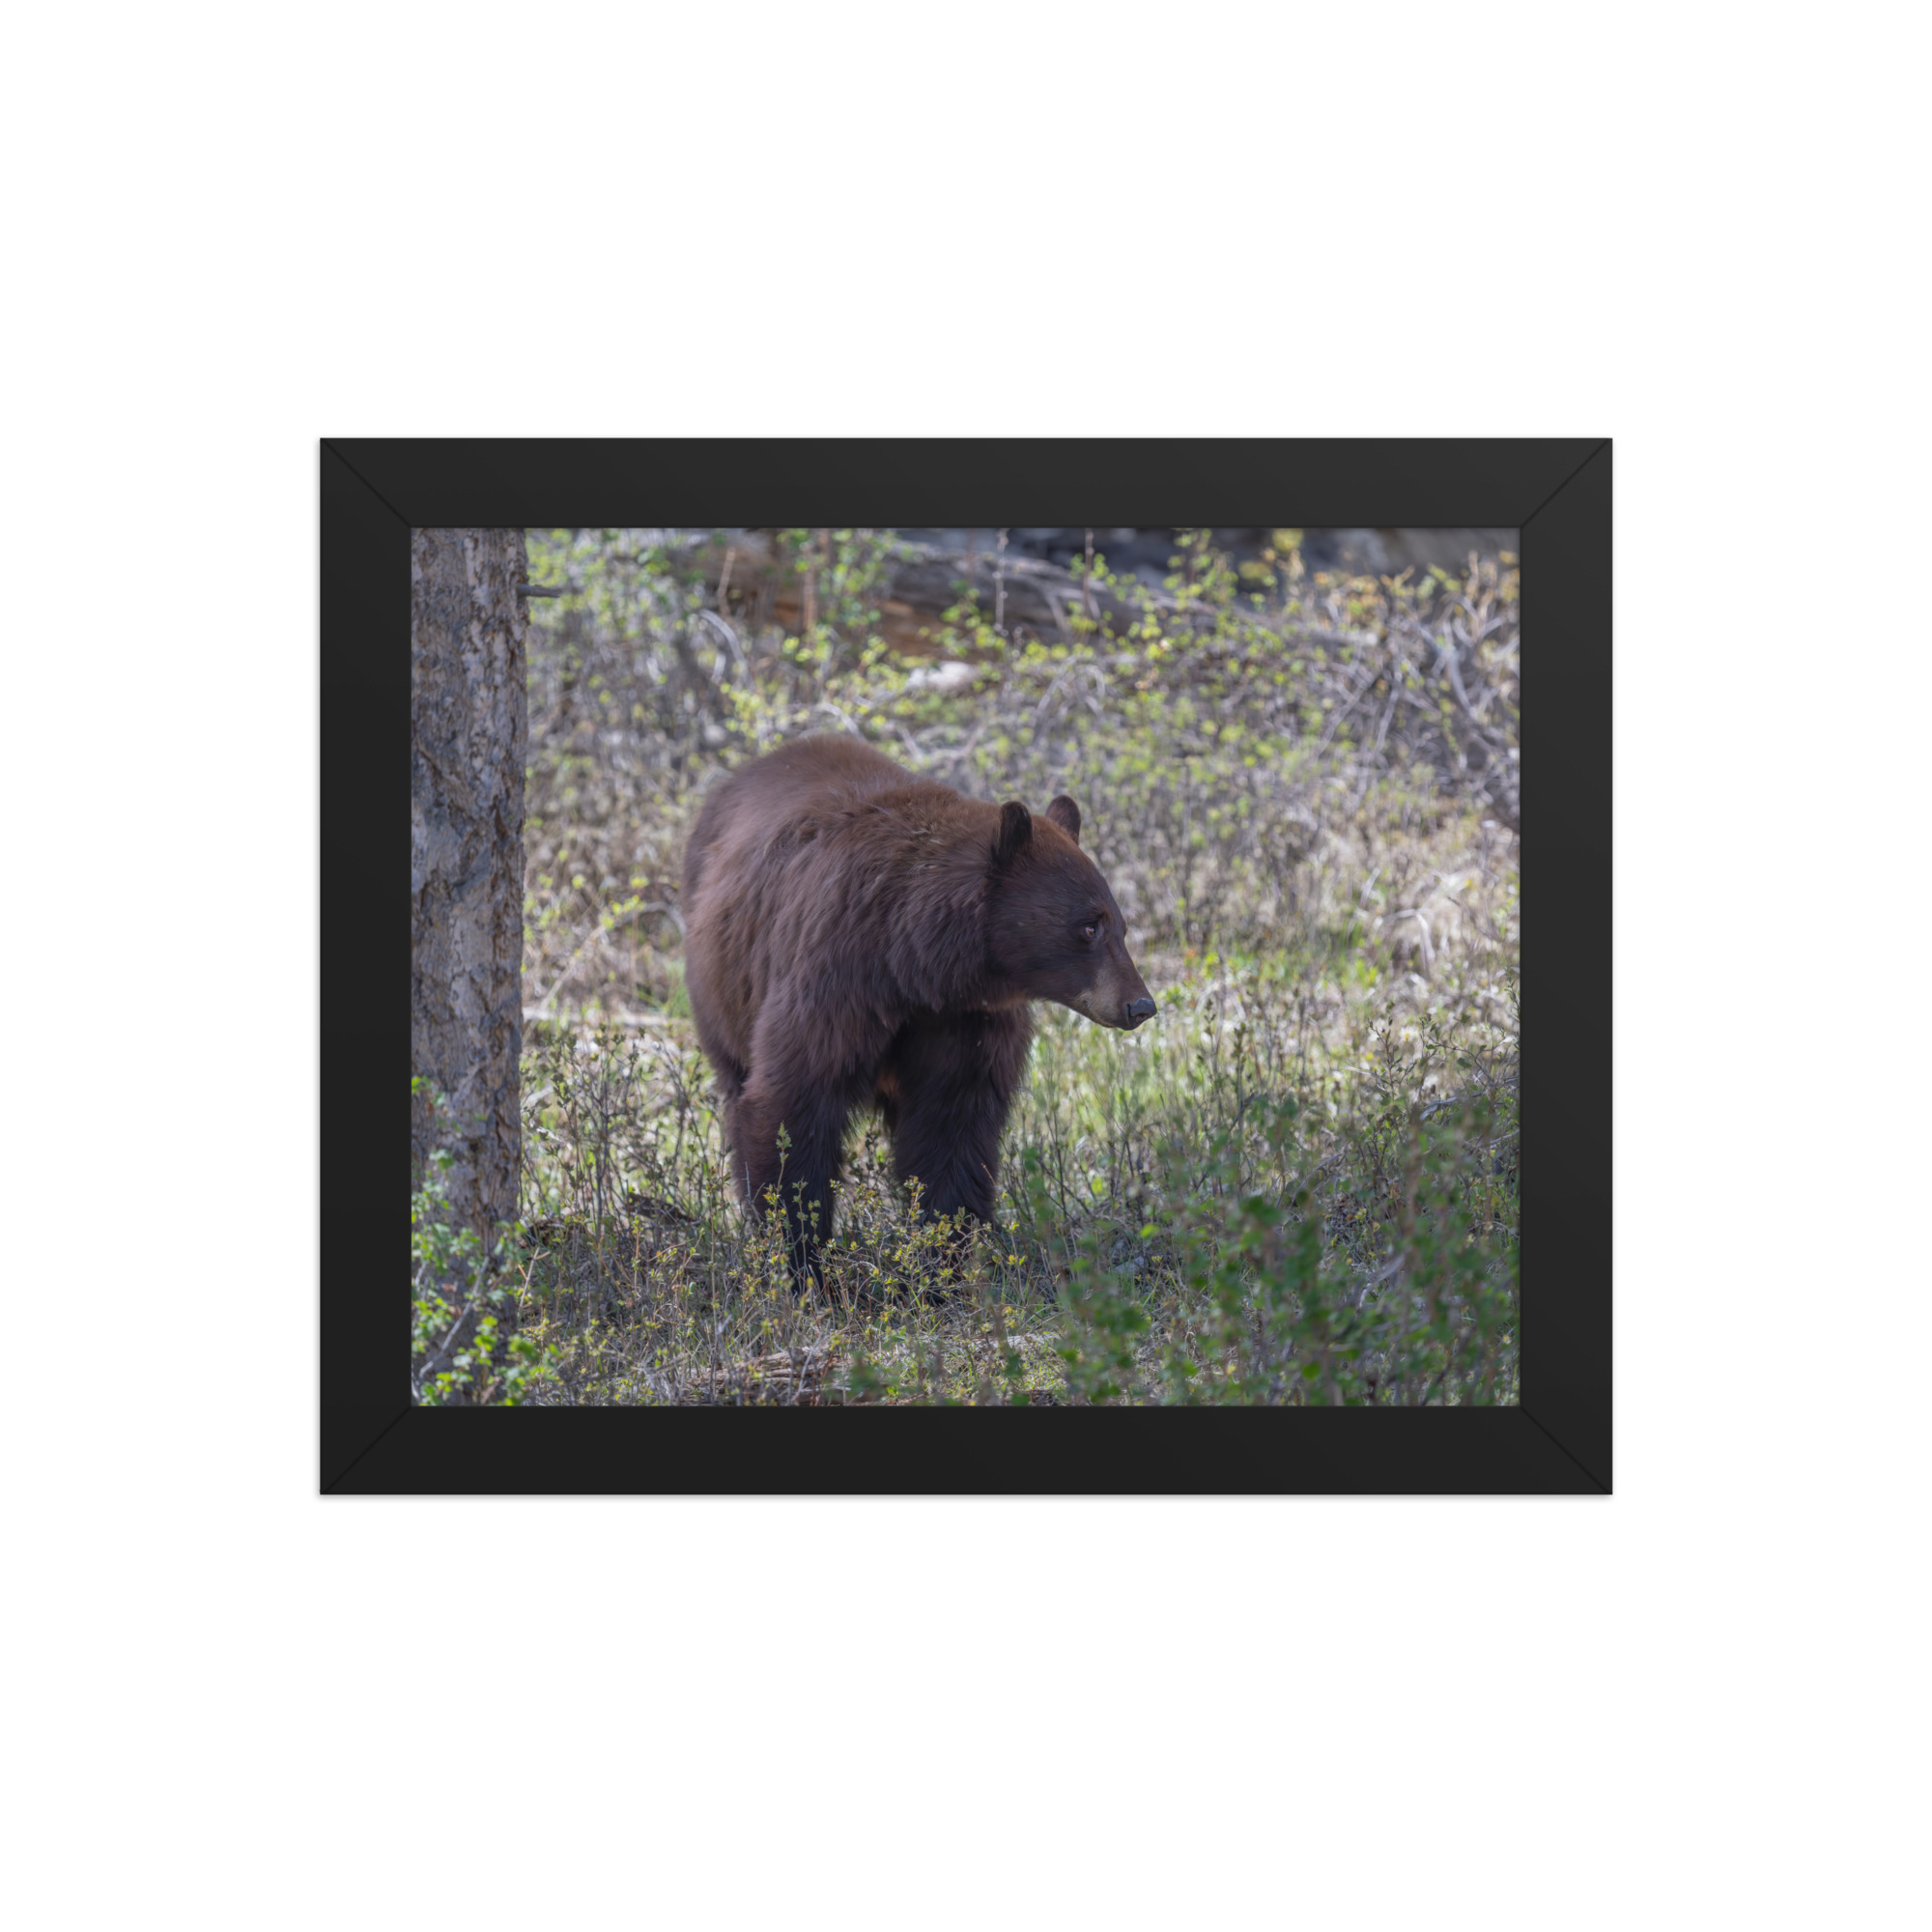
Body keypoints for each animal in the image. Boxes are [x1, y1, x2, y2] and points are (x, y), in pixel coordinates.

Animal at [679, 733, 1156, 1286]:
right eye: (1088, 926)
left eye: (1120, 925)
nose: (1140, 1005)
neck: (914, 964)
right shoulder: (835, 979)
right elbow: (793, 1106)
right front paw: (805, 1265)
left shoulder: (965, 1022)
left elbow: (952, 1129)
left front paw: (939, 1268)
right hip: (722, 989)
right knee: (737, 1086)